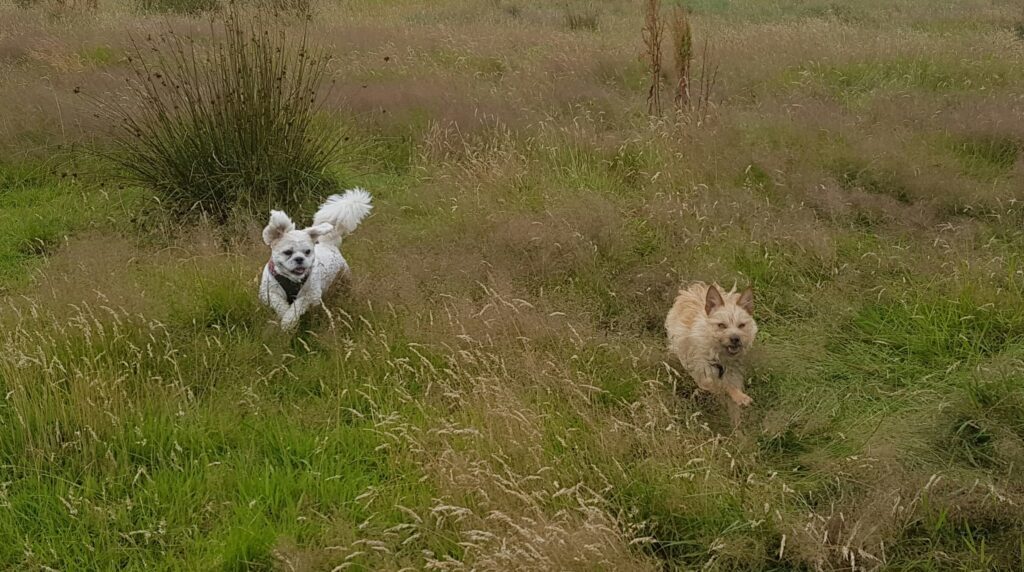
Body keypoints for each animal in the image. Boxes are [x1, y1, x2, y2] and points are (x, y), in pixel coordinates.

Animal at [260, 188, 372, 331]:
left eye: (307, 251)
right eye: (288, 252)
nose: (299, 259)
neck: (292, 280)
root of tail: (329, 244)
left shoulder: (311, 295)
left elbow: (297, 306)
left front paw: (288, 321)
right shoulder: (268, 292)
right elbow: (279, 304)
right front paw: (284, 316)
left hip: (344, 277)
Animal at [667, 282, 757, 425]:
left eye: (742, 325)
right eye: (721, 325)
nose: (735, 338)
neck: (721, 357)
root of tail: (697, 287)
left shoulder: (734, 373)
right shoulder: (703, 375)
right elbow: (721, 385)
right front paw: (738, 397)